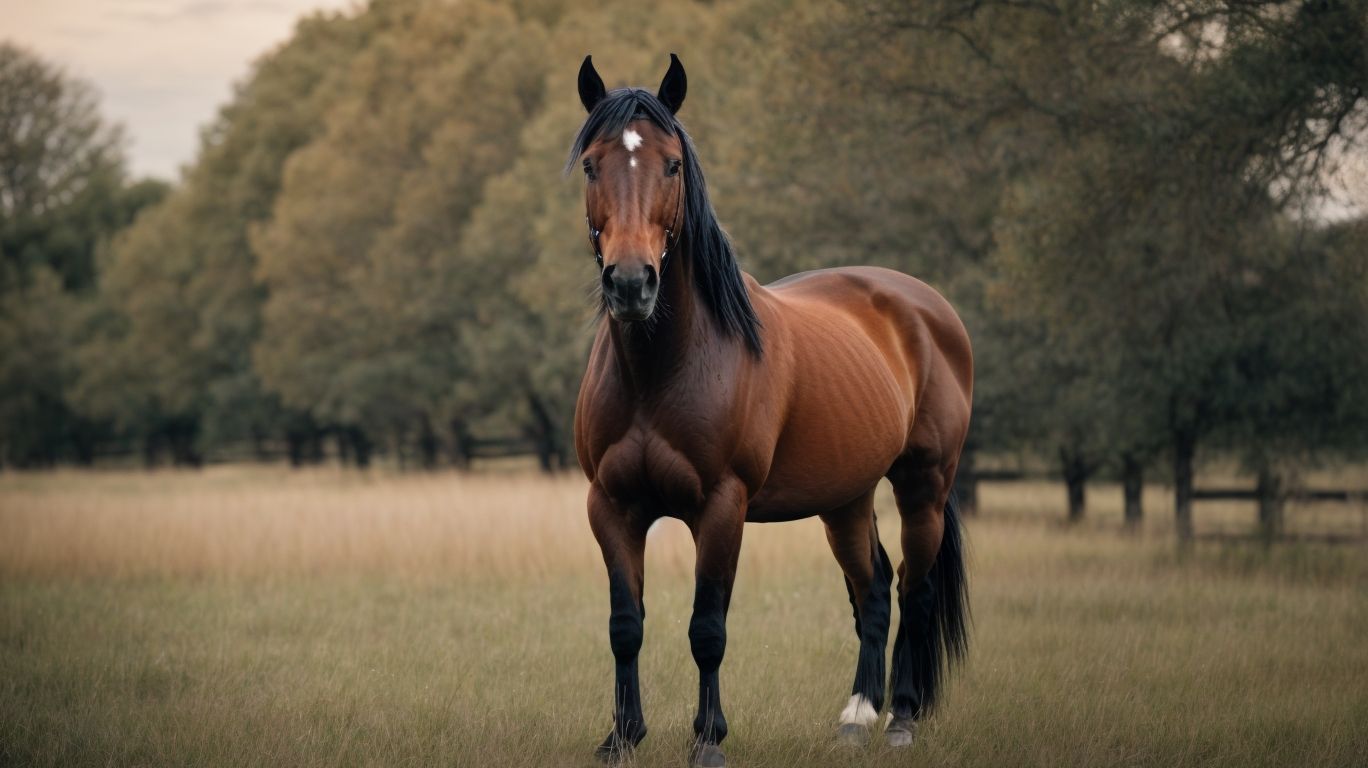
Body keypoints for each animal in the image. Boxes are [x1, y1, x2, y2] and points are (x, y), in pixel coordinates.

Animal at [570, 54, 973, 768]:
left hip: (923, 485)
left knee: (914, 591)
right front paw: (621, 737)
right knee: (872, 591)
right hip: (846, 497)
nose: (631, 283)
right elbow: (625, 626)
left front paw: (708, 740)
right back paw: (855, 716)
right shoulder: (611, 506)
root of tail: (926, 306)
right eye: (592, 164)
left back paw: (901, 718)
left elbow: (707, 628)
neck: (662, 370)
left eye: (672, 164)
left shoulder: (721, 508)